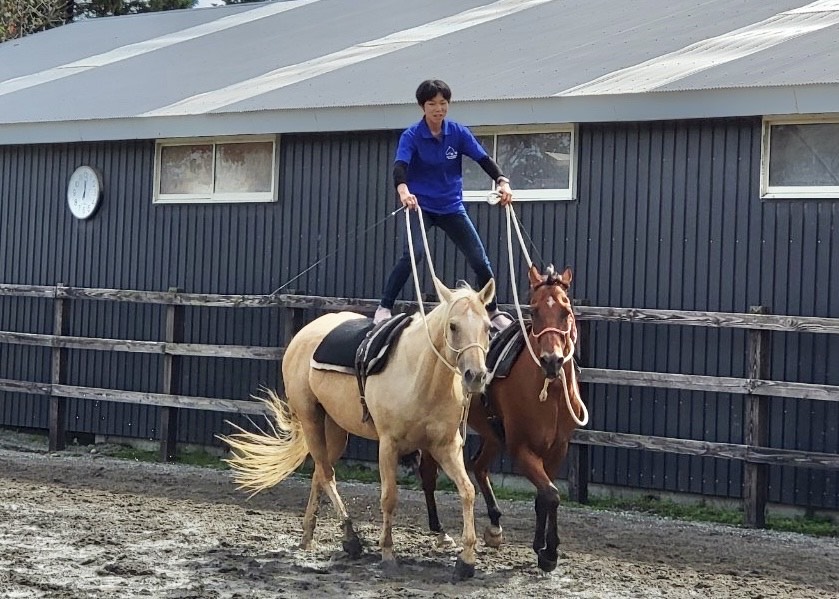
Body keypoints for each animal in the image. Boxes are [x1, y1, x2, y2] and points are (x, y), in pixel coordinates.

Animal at [220, 278, 498, 580]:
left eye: (488, 327)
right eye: (453, 326)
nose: (476, 376)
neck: (421, 376)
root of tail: (303, 336)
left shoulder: (446, 446)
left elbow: (467, 491)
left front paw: (466, 559)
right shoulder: (389, 445)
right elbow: (389, 497)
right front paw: (387, 553)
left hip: (335, 429)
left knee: (319, 473)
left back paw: (308, 536)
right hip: (311, 419)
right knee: (327, 475)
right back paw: (350, 537)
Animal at [416, 264, 588, 576]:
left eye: (566, 311)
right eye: (534, 310)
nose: (552, 360)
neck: (550, 392)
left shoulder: (557, 450)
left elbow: (545, 496)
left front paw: (542, 547)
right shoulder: (521, 449)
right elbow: (551, 494)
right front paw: (549, 552)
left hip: (492, 434)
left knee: (478, 465)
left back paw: (495, 524)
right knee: (428, 474)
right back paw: (440, 530)